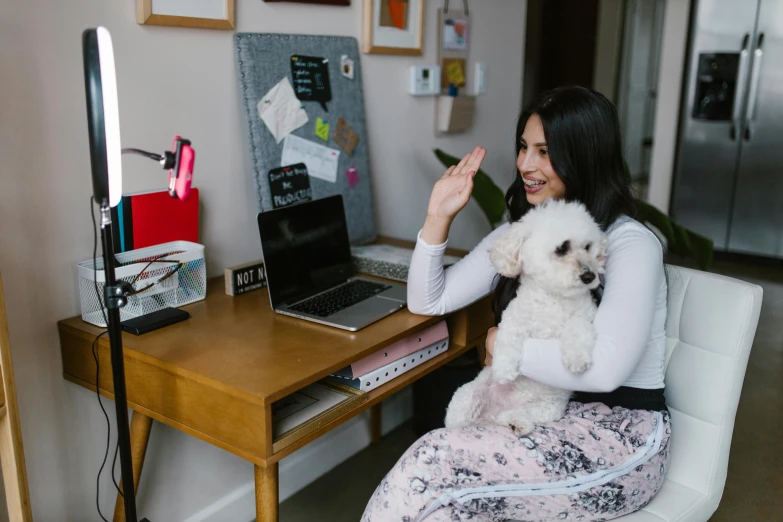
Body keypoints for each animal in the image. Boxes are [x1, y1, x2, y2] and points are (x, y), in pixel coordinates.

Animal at [444, 201, 608, 432]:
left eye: (587, 247)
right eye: (562, 248)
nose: (589, 275)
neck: (553, 298)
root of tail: (490, 417)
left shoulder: (585, 318)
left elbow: (578, 329)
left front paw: (577, 359)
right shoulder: (514, 318)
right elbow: (507, 339)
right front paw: (504, 369)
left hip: (548, 409)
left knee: (519, 415)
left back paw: (516, 422)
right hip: (466, 400)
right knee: (456, 423)